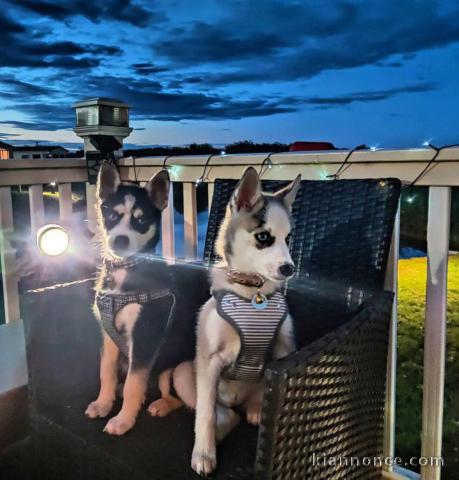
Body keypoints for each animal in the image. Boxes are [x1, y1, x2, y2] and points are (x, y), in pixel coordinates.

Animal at [85, 163, 208, 436]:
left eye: (140, 221)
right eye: (112, 216)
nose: (120, 240)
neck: (124, 272)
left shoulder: (144, 337)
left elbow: (134, 382)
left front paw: (123, 420)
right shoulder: (108, 335)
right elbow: (106, 371)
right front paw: (103, 403)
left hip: (175, 367)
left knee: (174, 396)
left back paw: (159, 404)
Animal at [173, 167, 302, 474]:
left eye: (288, 238)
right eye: (264, 237)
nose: (289, 269)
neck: (253, 293)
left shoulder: (284, 352)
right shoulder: (209, 362)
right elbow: (205, 416)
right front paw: (204, 454)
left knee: (247, 407)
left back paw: (255, 410)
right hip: (184, 373)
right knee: (224, 415)